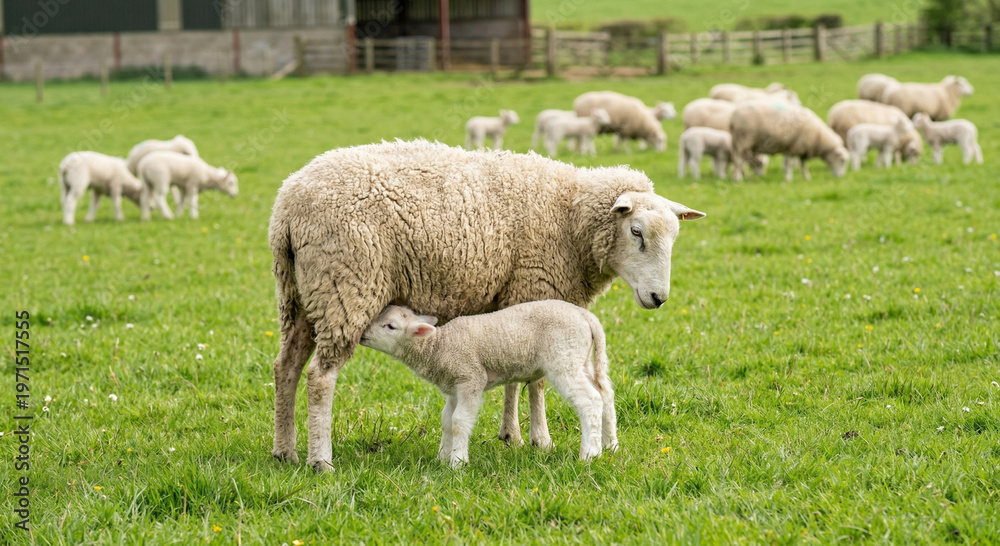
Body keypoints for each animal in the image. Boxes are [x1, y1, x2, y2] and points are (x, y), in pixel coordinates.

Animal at [360, 301, 618, 467]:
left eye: (390, 326)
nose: (362, 334)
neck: (439, 345)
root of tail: (587, 317)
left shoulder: (471, 378)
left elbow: (459, 421)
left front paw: (457, 462)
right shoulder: (453, 386)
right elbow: (446, 420)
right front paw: (442, 457)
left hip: (564, 357)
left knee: (590, 401)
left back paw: (590, 454)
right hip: (581, 358)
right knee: (605, 395)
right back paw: (609, 445)